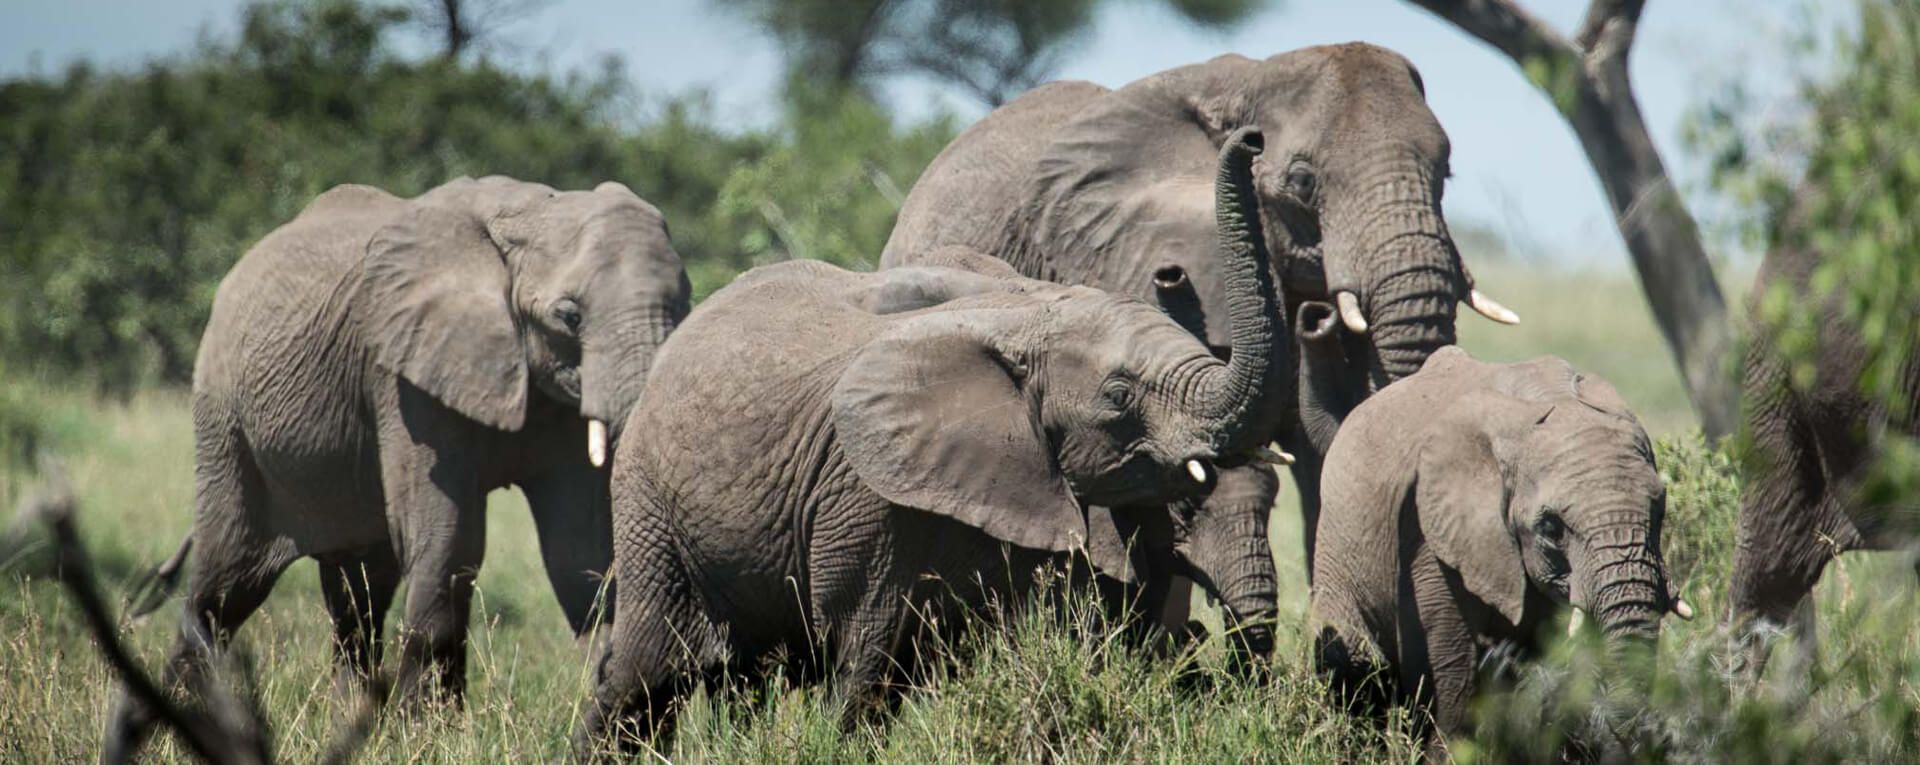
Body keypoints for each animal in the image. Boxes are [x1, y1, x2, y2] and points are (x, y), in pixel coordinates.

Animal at [103, 175, 691, 761]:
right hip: (225, 420)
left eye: (684, 307)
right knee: (224, 586)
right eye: (570, 316)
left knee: (357, 595)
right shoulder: (405, 376)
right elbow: (449, 541)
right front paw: (431, 741)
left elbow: (582, 554)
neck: (531, 213)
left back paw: (347, 728)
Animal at [576, 128, 1282, 757]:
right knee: (645, 667)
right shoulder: (863, 494)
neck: (1028, 316)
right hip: (647, 502)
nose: (1252, 139)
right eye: (1118, 396)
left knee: (741, 673)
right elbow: (865, 654)